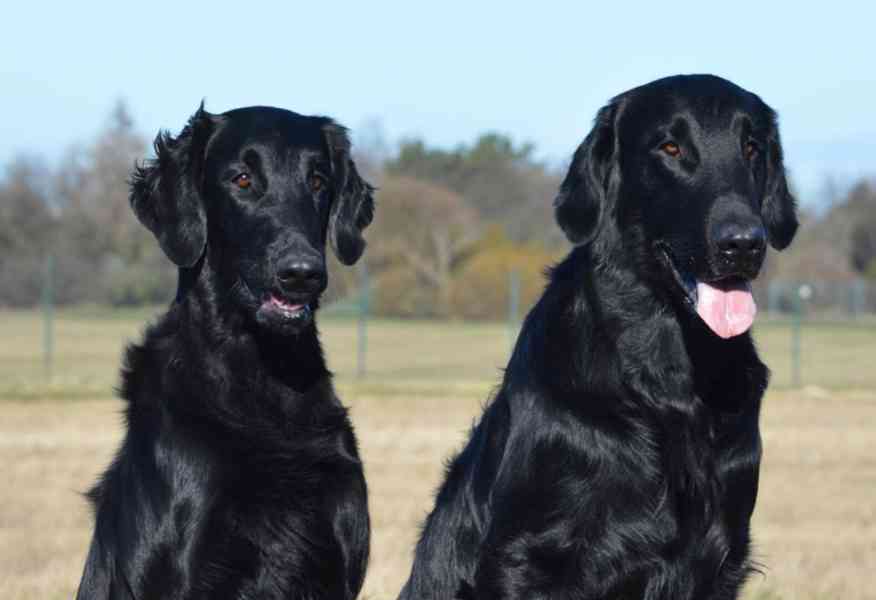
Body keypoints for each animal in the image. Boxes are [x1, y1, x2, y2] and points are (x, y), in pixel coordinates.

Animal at [400, 75, 796, 600]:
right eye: (670, 148)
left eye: (752, 147)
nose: (744, 244)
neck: (669, 379)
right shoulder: (529, 559)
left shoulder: (719, 559)